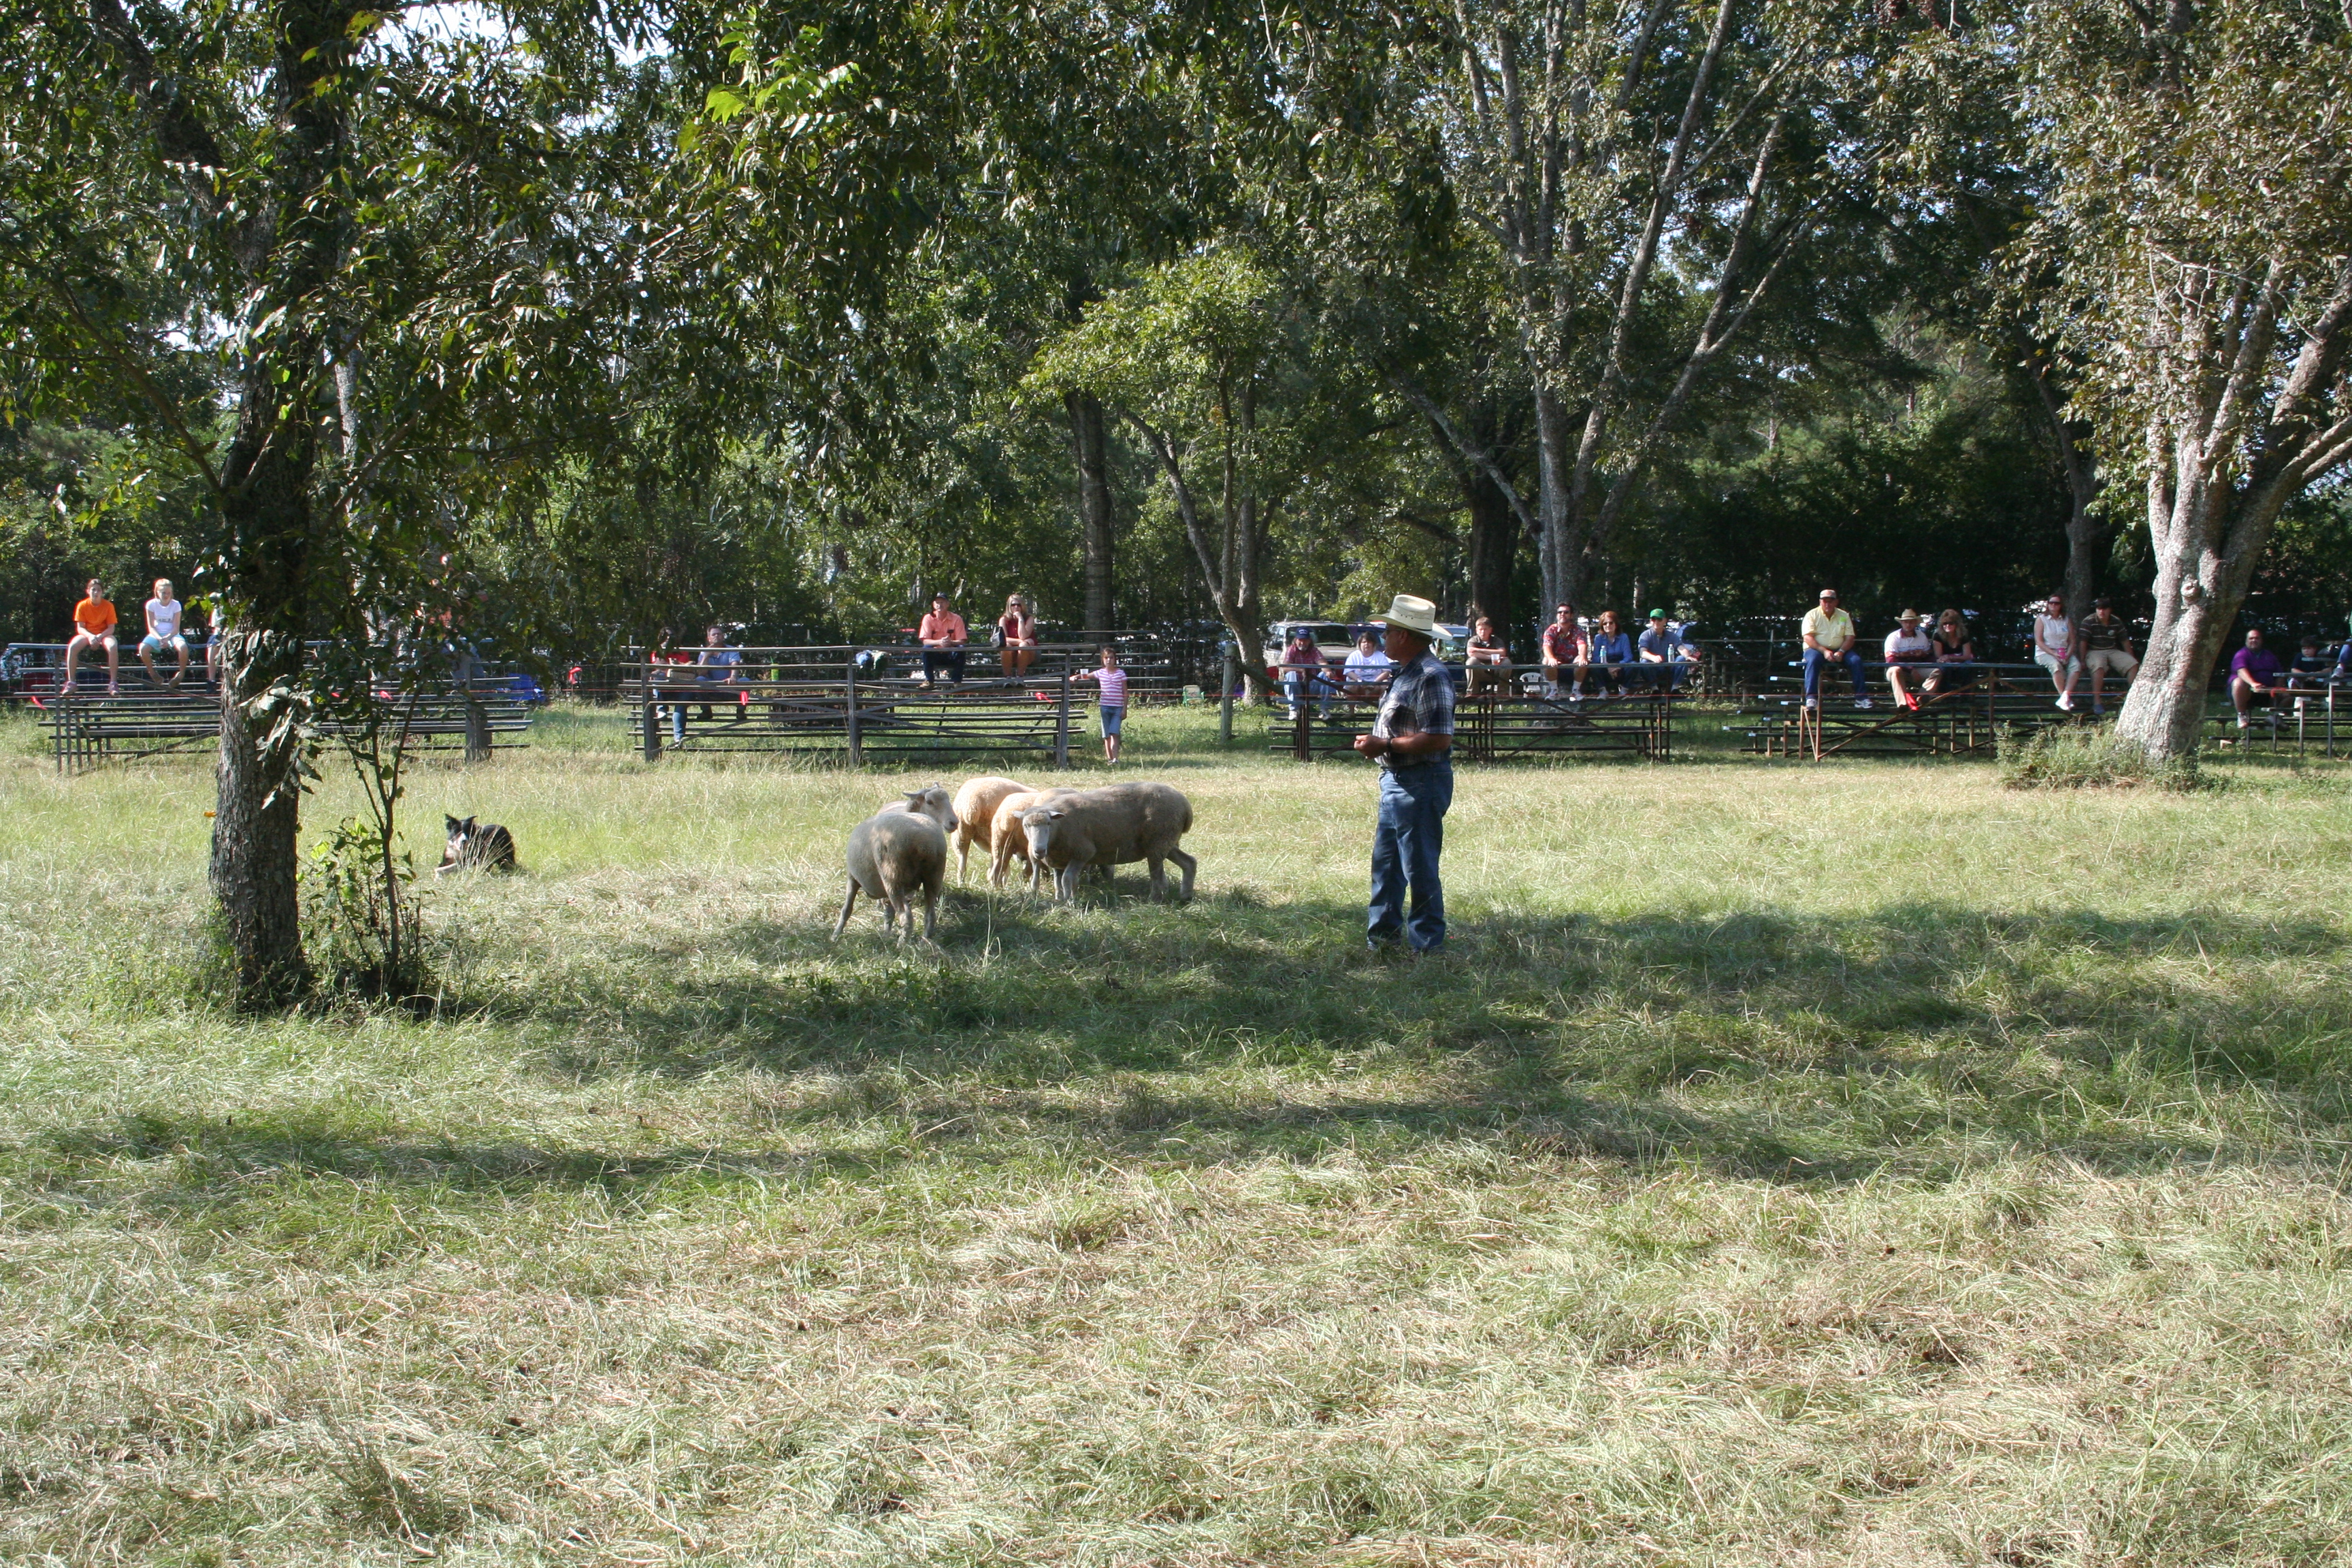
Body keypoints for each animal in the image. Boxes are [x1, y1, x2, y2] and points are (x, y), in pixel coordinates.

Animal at [834, 787, 959, 942]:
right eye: (930, 802)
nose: (954, 823)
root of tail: (924, 842)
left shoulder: (852, 877)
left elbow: (847, 908)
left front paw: (835, 935)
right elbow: (888, 912)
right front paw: (886, 934)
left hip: (893, 876)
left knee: (906, 916)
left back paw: (903, 944)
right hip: (933, 876)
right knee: (930, 915)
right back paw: (924, 942)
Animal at [1018, 781, 1197, 902]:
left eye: (1049, 824)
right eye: (1025, 826)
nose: (1038, 851)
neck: (1059, 827)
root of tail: (1185, 804)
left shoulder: (1083, 853)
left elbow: (1067, 879)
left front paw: (1071, 901)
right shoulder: (1059, 861)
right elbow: (1058, 882)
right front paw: (1060, 899)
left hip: (1158, 841)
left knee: (1157, 876)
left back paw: (1154, 899)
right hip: (1167, 842)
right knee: (1189, 862)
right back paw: (1185, 896)